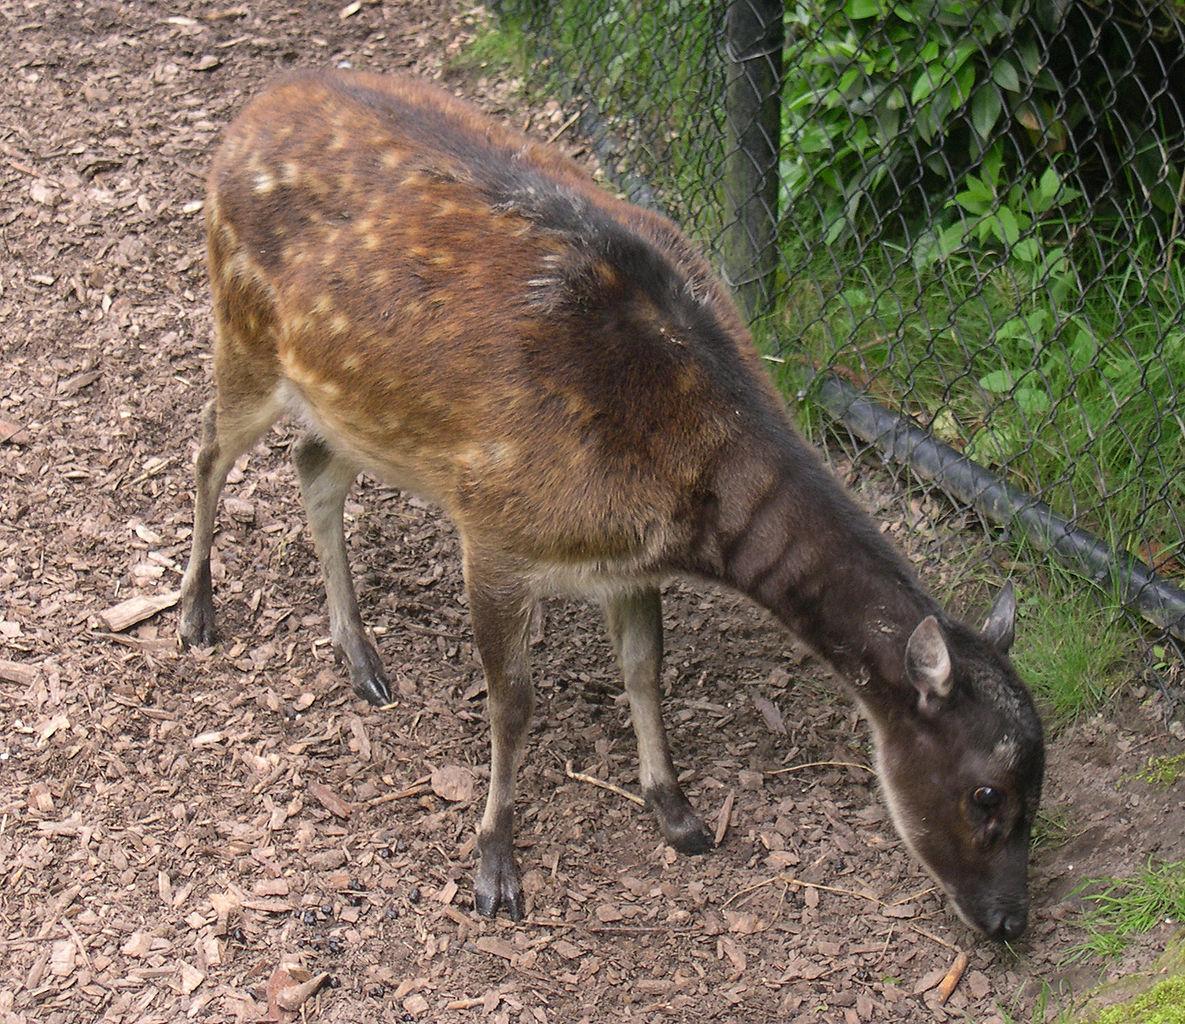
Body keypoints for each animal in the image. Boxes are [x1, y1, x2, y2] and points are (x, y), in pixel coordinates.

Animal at [177, 68, 1047, 938]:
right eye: (985, 793)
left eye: (1039, 788)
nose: (1008, 922)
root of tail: (249, 114)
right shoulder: (495, 528)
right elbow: (513, 703)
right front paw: (495, 868)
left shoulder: (625, 562)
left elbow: (644, 668)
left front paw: (677, 812)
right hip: (241, 324)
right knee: (209, 449)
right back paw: (196, 614)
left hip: (351, 407)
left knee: (312, 463)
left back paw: (361, 659)